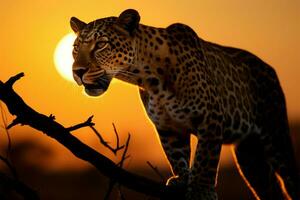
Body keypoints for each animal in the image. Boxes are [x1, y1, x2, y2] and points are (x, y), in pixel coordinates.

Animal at [69, 8, 298, 199]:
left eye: (101, 45)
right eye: (75, 49)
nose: (77, 71)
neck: (149, 78)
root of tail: (270, 69)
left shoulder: (211, 119)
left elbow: (205, 159)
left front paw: (201, 190)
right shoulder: (168, 126)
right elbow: (176, 156)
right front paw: (182, 180)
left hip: (276, 136)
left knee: (289, 178)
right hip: (250, 156)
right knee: (270, 189)